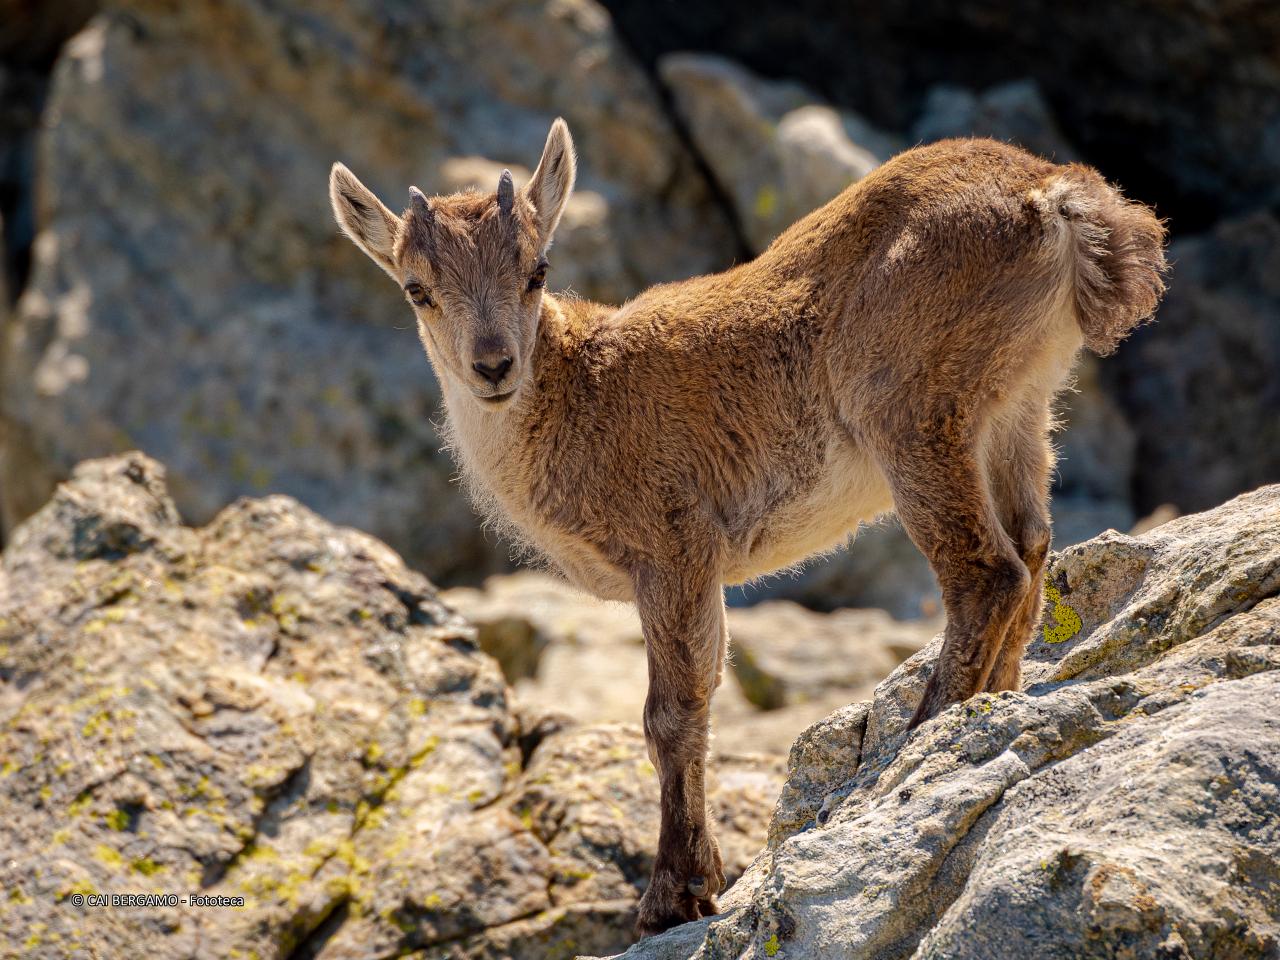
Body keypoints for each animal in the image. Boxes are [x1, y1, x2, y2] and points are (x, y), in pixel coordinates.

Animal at [329, 118, 1166, 936]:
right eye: (417, 290)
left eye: (537, 270)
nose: (494, 366)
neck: (580, 394)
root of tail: (1054, 197)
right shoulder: (701, 570)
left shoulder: (673, 549)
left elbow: (672, 714)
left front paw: (673, 895)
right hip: (1016, 408)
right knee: (1031, 550)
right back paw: (995, 705)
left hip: (912, 412)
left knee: (984, 571)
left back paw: (916, 744)